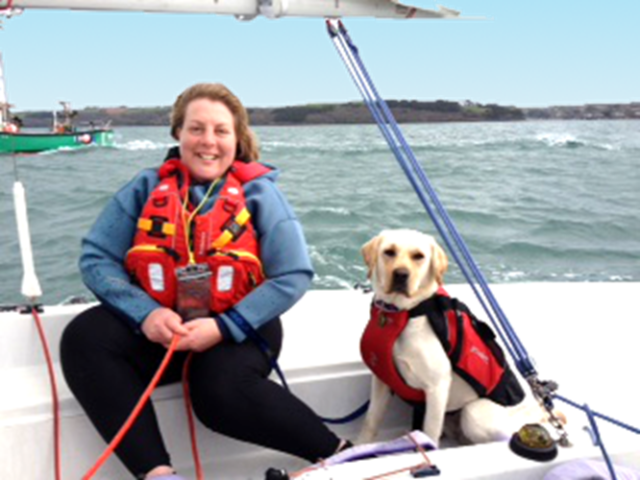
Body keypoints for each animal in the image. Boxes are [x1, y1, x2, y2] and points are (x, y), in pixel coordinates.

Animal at [358, 229, 548, 446]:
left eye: (419, 256)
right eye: (389, 252)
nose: (401, 274)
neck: (404, 313)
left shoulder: (437, 387)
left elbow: (429, 433)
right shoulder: (382, 381)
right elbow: (370, 421)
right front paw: (359, 446)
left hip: (474, 414)